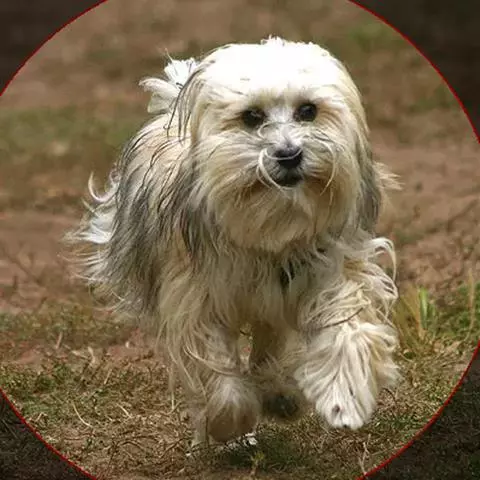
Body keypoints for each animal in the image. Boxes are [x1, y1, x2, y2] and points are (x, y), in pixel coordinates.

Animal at [69, 37, 400, 447]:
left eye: (308, 111)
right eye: (251, 117)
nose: (289, 154)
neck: (269, 230)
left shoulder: (328, 269)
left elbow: (345, 330)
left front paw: (343, 397)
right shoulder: (195, 298)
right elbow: (214, 368)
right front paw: (227, 421)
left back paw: (278, 394)